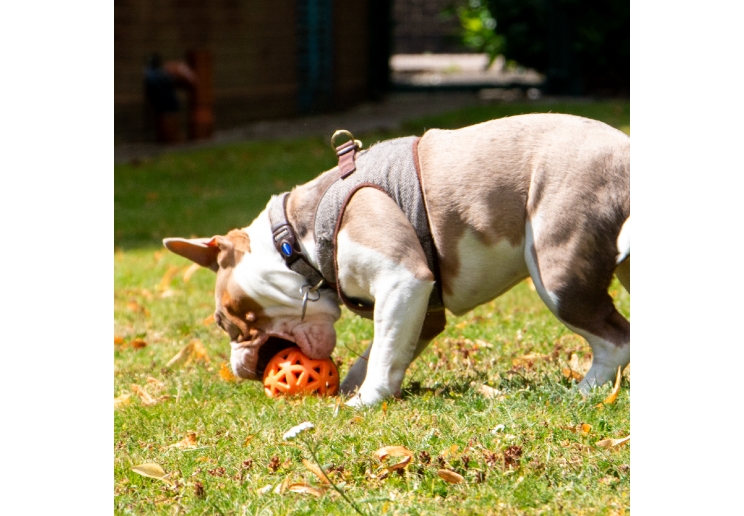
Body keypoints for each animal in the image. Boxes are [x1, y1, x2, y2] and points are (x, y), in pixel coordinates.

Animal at [163, 113, 628, 408]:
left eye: (227, 321)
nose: (240, 367)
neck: (295, 242)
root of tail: (624, 150)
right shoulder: (420, 307)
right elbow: (383, 350)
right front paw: (355, 388)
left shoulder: (403, 279)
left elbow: (383, 351)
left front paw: (364, 401)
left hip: (557, 275)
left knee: (615, 339)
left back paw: (584, 391)